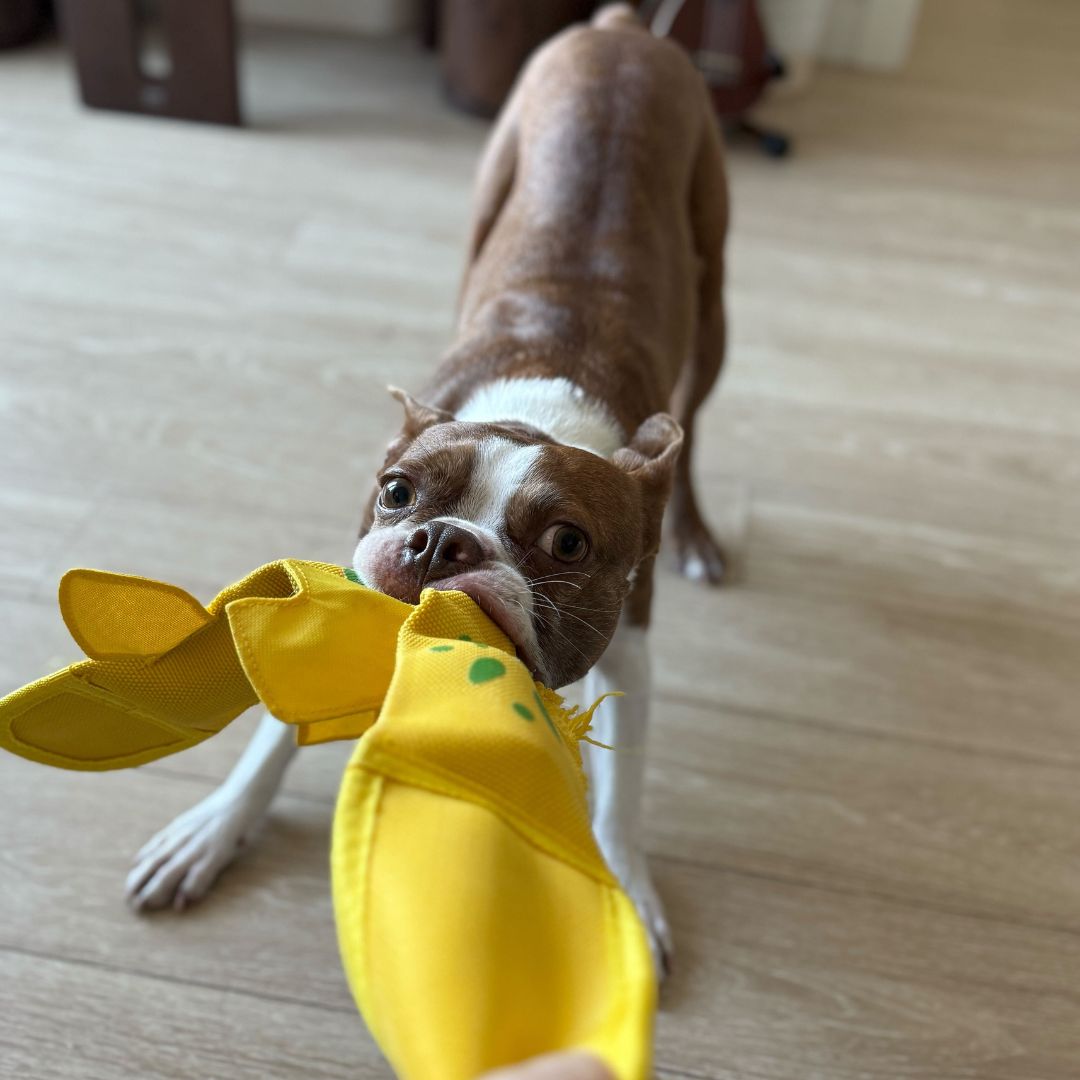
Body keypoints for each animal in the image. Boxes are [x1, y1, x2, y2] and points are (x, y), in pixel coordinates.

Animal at [125, 3, 728, 976]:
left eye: (567, 543)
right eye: (397, 492)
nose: (443, 541)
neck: (540, 400)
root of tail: (622, 30)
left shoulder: (628, 647)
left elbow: (623, 791)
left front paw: (630, 892)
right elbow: (271, 733)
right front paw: (216, 827)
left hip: (712, 300)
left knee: (699, 422)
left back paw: (700, 536)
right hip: (494, 193)